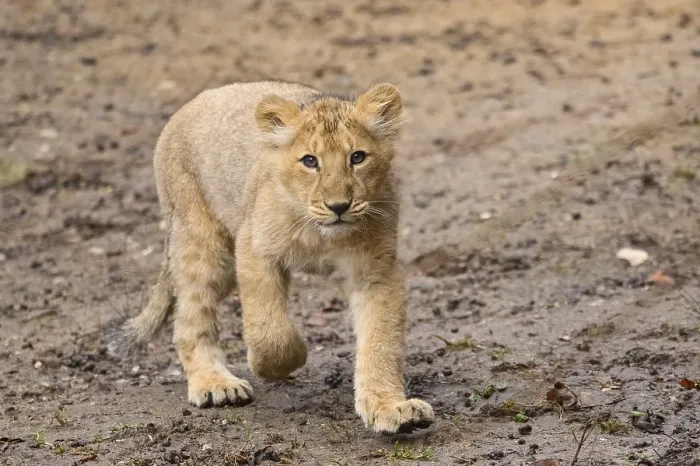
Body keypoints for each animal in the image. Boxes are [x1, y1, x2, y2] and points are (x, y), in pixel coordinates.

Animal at [107, 81, 434, 434]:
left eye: (358, 157)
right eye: (310, 161)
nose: (338, 206)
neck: (319, 235)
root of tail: (192, 103)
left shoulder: (377, 272)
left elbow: (380, 342)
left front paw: (391, 409)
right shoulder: (254, 248)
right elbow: (269, 329)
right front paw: (280, 361)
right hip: (205, 240)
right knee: (188, 314)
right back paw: (215, 384)